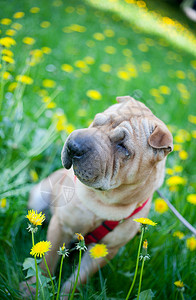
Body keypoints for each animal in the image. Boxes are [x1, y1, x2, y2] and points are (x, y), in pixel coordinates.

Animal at [28, 95, 172, 296]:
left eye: (122, 146)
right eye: (97, 122)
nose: (73, 146)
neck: (104, 201)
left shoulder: (105, 250)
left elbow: (77, 280)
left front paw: (65, 295)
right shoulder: (61, 225)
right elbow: (46, 261)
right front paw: (33, 289)